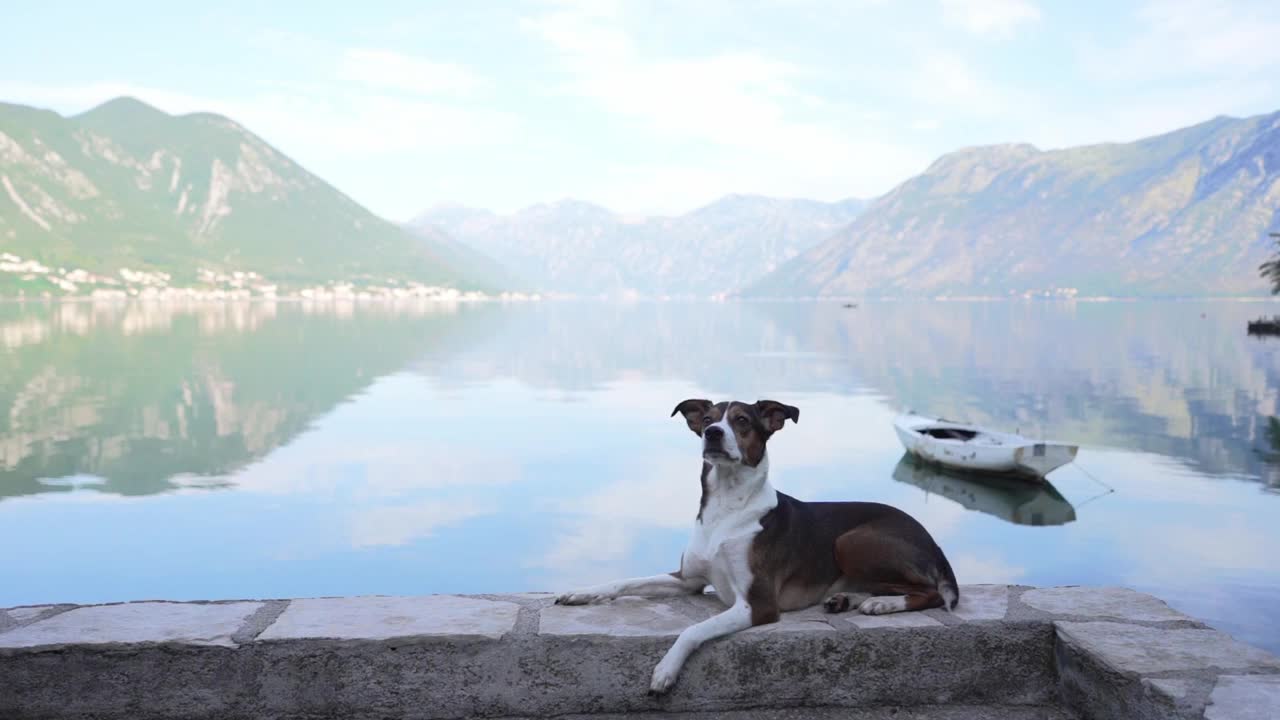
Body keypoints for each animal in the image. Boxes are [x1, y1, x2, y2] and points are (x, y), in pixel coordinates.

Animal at [555, 394, 957, 691]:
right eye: (708, 418)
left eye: (742, 421)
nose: (712, 433)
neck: (726, 507)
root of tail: (933, 542)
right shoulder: (688, 580)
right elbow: (624, 582)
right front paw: (582, 593)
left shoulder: (758, 603)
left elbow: (693, 629)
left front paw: (666, 670)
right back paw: (850, 599)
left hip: (851, 540)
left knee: (930, 592)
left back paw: (883, 605)